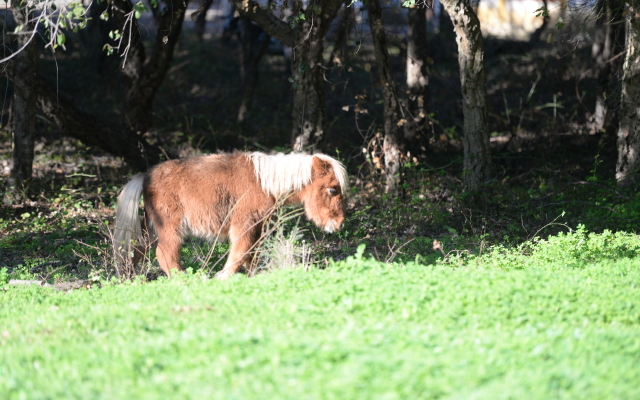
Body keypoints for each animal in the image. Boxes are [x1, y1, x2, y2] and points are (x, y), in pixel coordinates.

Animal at [112, 152, 348, 280]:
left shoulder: (258, 226)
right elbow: (240, 253)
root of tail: (145, 176)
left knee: (135, 250)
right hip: (170, 227)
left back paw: (127, 278)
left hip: (151, 228)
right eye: (332, 190)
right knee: (165, 254)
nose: (339, 223)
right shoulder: (244, 224)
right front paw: (222, 277)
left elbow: (252, 255)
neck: (264, 183)